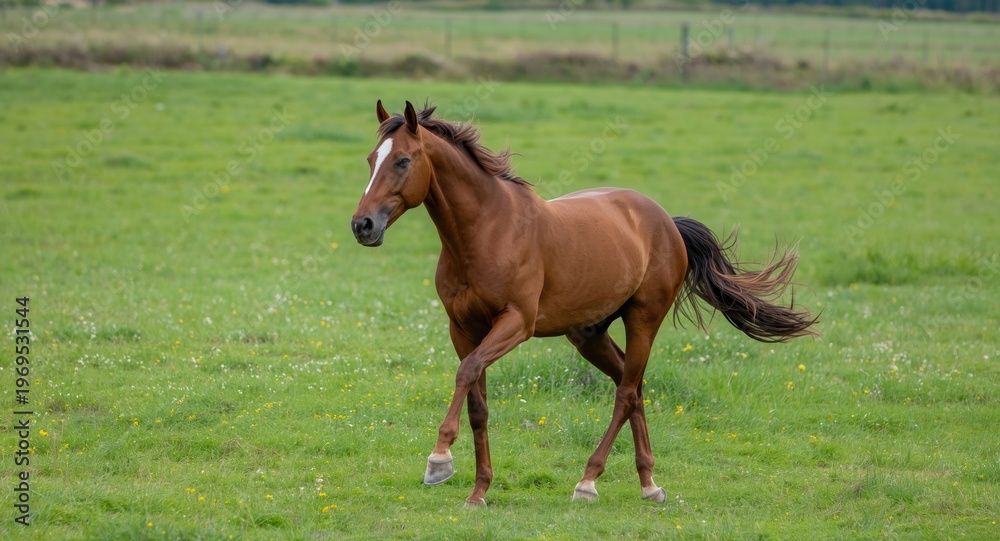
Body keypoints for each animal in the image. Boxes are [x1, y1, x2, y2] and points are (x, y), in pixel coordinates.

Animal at [351, 100, 818, 507]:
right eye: (371, 159)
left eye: (403, 161)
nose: (362, 225)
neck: (486, 231)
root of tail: (665, 221)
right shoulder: (462, 328)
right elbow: (477, 403)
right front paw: (478, 491)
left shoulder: (516, 324)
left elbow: (466, 373)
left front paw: (439, 461)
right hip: (589, 334)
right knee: (634, 386)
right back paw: (649, 484)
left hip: (643, 318)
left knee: (626, 393)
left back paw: (588, 482)